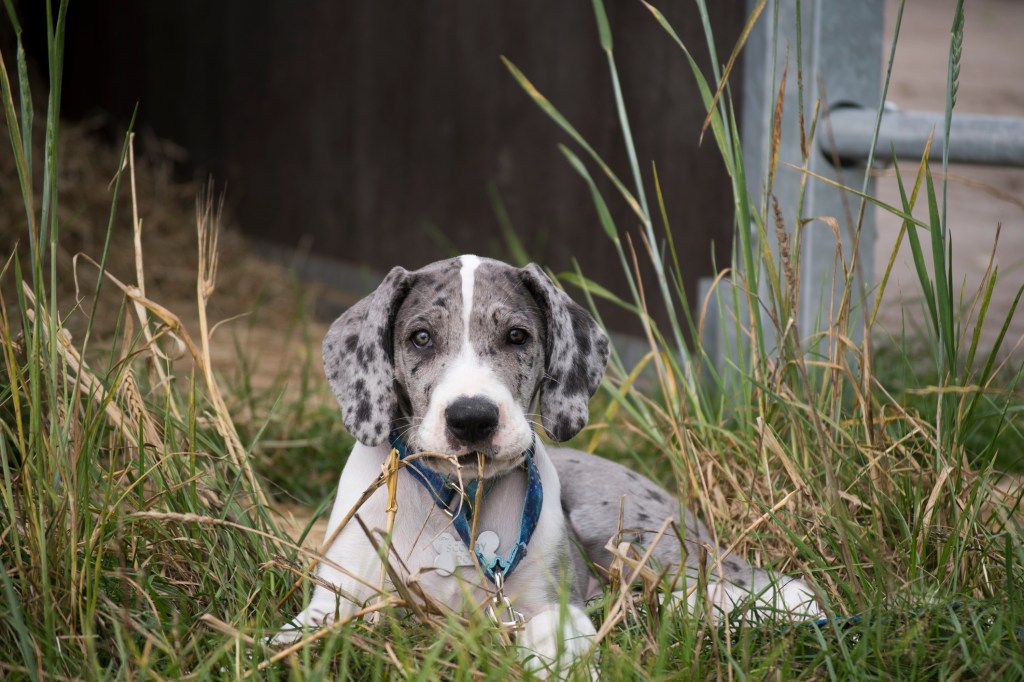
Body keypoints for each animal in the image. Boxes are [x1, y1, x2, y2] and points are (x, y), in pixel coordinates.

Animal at [272, 256, 815, 675]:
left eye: (517, 336)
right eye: (420, 337)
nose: (472, 418)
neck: (461, 498)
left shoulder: (553, 602)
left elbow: (557, 637)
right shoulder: (338, 594)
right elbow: (307, 631)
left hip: (634, 534)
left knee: (762, 583)